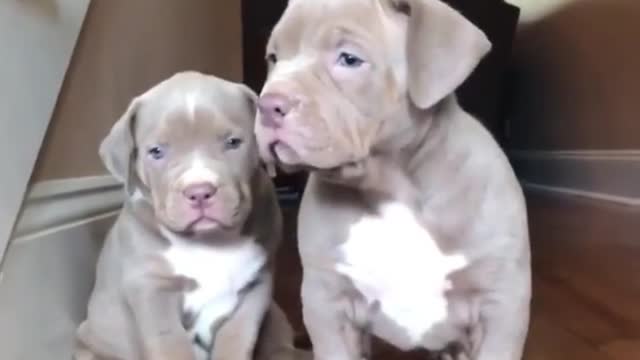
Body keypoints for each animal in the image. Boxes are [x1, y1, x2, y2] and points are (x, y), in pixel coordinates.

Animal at [73, 71, 296, 360]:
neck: (209, 242)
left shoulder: (256, 287)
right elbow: (171, 347)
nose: (199, 191)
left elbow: (236, 341)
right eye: (156, 151)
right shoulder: (152, 289)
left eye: (233, 142)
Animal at [254, 0, 528, 360]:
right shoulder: (327, 305)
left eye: (349, 59)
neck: (393, 190)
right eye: (273, 58)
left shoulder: (501, 309)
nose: (266, 105)